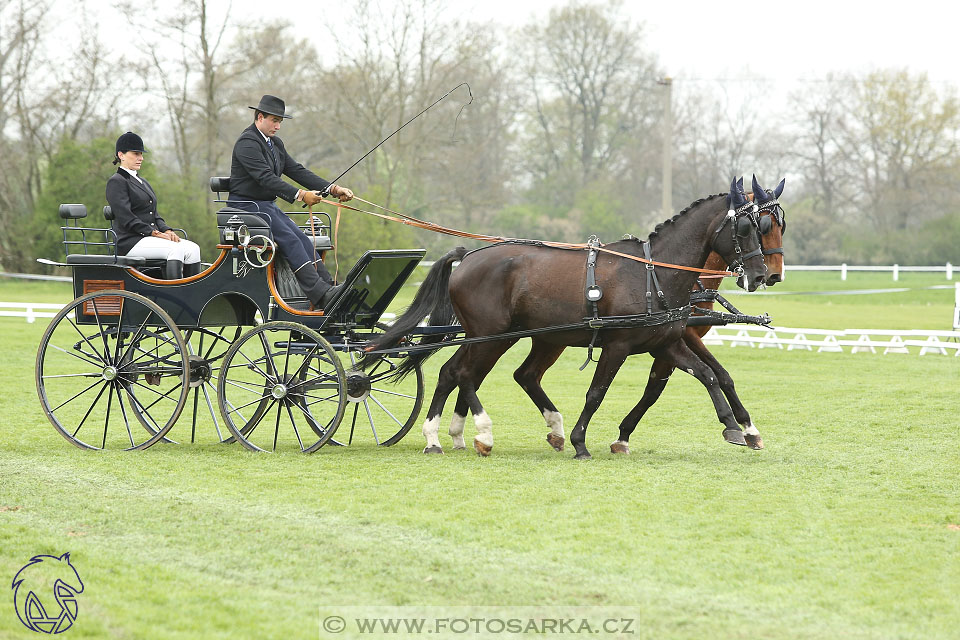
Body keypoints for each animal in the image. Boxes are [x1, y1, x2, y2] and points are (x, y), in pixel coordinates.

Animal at [364, 180, 768, 460]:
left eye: (764, 226)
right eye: (747, 228)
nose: (762, 274)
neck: (653, 274)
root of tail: (469, 257)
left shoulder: (666, 342)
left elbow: (708, 375)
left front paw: (735, 428)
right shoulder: (618, 346)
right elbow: (596, 392)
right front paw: (580, 442)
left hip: (505, 336)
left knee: (463, 373)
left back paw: (444, 436)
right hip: (491, 335)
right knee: (464, 373)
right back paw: (481, 432)